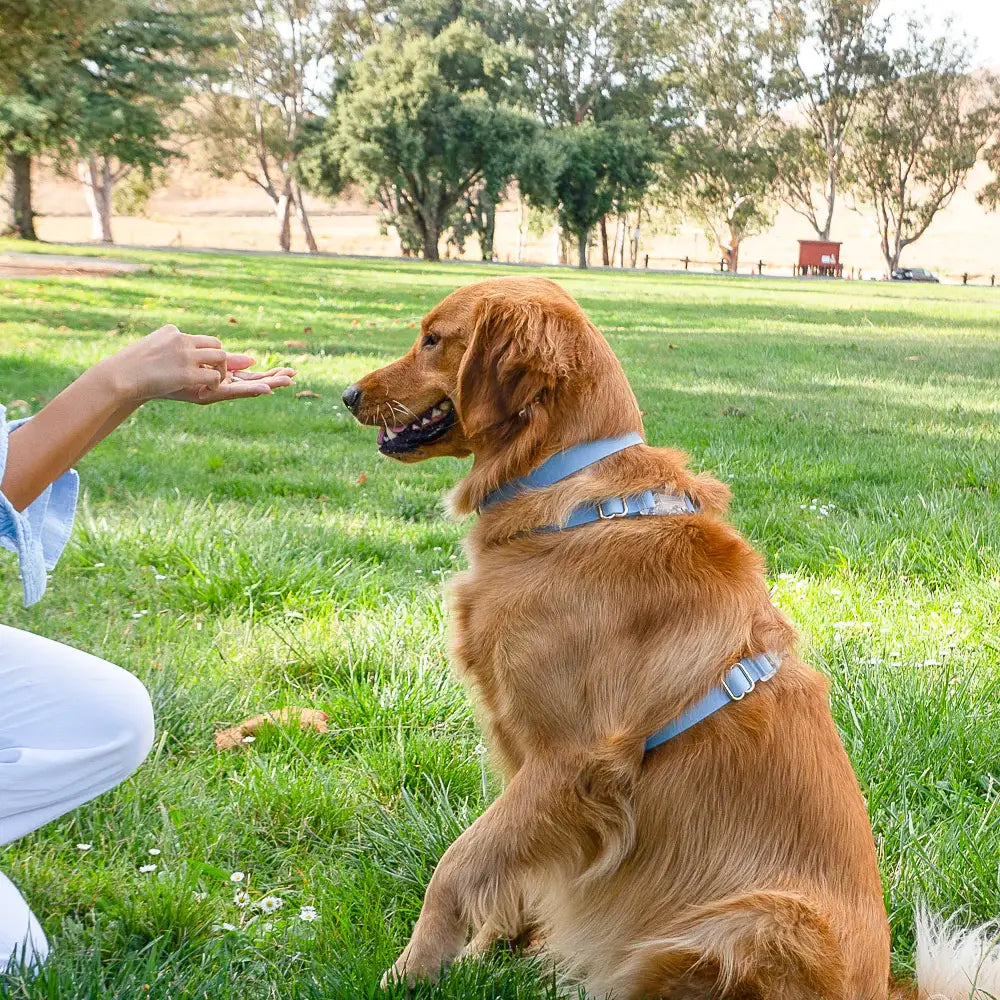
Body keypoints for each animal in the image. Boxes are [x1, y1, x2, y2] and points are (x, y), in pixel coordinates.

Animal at [342, 276, 992, 1000]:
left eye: (432, 339)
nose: (347, 394)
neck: (567, 492)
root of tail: (877, 987)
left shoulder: (572, 759)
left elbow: (458, 865)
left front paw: (413, 970)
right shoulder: (530, 763)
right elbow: (510, 878)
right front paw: (487, 954)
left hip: (752, 921)